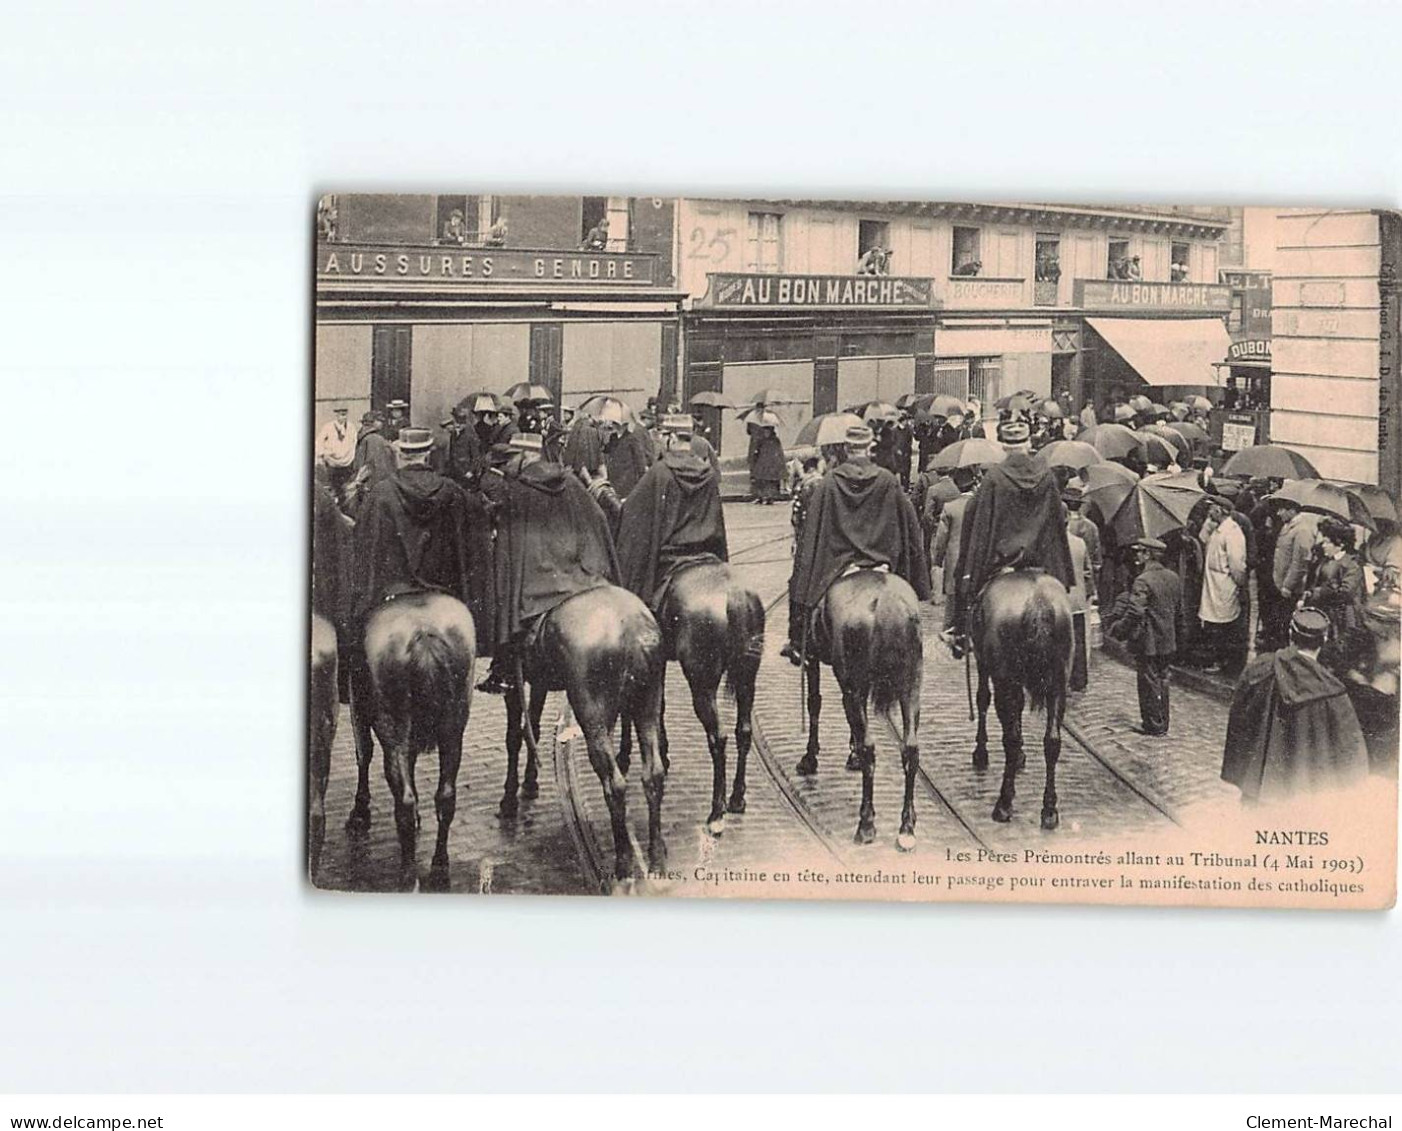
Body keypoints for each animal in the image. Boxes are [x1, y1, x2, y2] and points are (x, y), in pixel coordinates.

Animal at [344, 588, 476, 891]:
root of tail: (424, 631)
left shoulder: (357, 701)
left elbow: (363, 752)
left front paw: (359, 813)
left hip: (393, 731)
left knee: (403, 800)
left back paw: (408, 875)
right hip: (453, 730)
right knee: (445, 796)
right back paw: (439, 867)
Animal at [496, 588, 664, 891]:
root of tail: (634, 630)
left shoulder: (514, 680)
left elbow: (515, 734)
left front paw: (509, 798)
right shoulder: (536, 678)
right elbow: (532, 726)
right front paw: (529, 782)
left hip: (592, 715)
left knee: (614, 783)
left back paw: (623, 867)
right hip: (647, 702)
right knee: (653, 773)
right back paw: (657, 861)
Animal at [622, 560, 768, 835]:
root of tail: (733, 594)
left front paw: (625, 755)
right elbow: (659, 707)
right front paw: (663, 752)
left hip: (702, 684)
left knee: (718, 738)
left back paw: (716, 813)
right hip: (747, 677)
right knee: (743, 731)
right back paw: (736, 798)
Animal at [796, 566, 925, 852]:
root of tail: (888, 602)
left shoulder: (816, 660)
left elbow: (814, 702)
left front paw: (810, 758)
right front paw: (851, 754)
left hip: (853, 687)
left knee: (870, 747)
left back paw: (866, 825)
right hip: (911, 686)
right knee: (910, 748)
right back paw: (907, 827)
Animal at [970, 571, 1065, 829]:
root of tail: (1038, 601)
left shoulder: (985, 664)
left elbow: (982, 698)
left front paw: (980, 752)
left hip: (1005, 679)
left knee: (1009, 740)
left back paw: (1003, 804)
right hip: (1057, 682)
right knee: (1052, 741)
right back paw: (1049, 810)